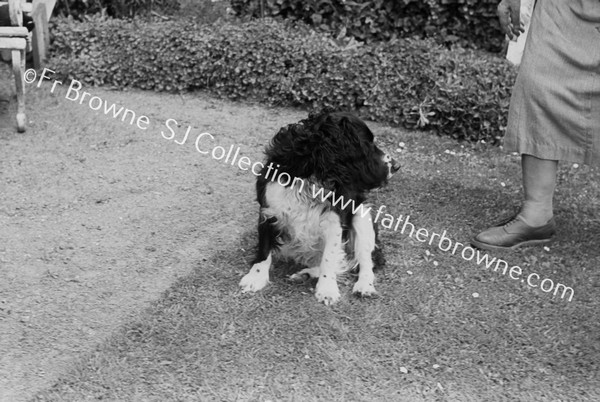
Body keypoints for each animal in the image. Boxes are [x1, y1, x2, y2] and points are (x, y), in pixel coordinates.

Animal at [238, 110, 398, 304]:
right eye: (367, 144)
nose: (397, 166)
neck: (310, 177)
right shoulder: (268, 209)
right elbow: (264, 248)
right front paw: (256, 277)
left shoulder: (336, 219)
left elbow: (329, 258)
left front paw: (327, 288)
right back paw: (306, 274)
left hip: (362, 216)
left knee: (365, 261)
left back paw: (364, 286)